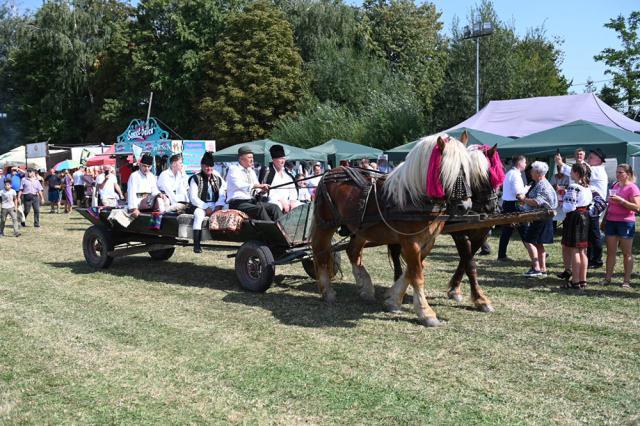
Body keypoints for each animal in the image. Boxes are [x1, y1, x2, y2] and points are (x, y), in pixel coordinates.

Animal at [312, 133, 472, 326]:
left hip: (360, 229)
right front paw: (426, 313)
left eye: (467, 169)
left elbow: (411, 270)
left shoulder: (428, 241)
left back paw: (365, 288)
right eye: (447, 170)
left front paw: (393, 300)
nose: (465, 206)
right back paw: (327, 292)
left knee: (353, 252)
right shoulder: (410, 242)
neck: (413, 196)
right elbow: (416, 274)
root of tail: (331, 172)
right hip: (326, 224)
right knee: (320, 252)